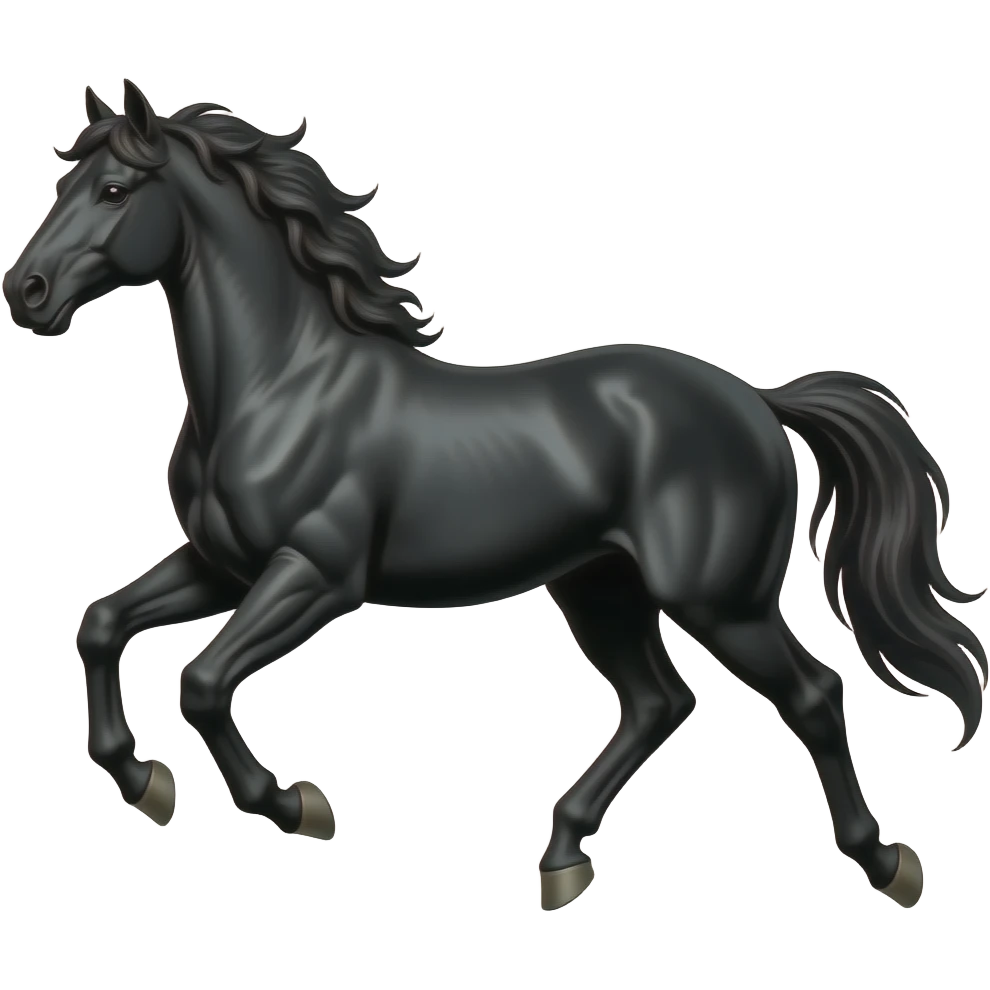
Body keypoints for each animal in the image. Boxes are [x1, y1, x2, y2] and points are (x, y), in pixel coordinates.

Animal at [4, 80, 985, 912]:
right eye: (65, 179)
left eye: (117, 188)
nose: (26, 291)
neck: (280, 384)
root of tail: (757, 399)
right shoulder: (223, 565)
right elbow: (101, 624)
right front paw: (144, 781)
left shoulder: (315, 575)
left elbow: (202, 681)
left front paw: (293, 804)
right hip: (600, 588)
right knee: (660, 703)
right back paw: (563, 857)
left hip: (718, 600)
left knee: (812, 694)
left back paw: (887, 862)